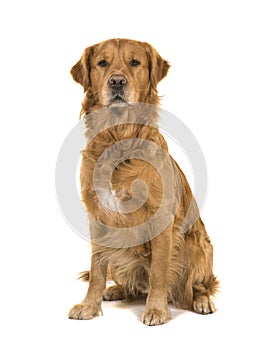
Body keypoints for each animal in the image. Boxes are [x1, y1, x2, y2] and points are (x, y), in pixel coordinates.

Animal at [68, 38, 221, 326]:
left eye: (135, 62)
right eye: (102, 63)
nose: (117, 81)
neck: (118, 139)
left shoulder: (160, 220)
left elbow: (159, 272)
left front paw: (156, 310)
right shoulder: (98, 217)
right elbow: (96, 270)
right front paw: (89, 305)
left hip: (197, 246)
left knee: (199, 285)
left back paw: (202, 301)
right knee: (130, 285)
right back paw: (115, 290)